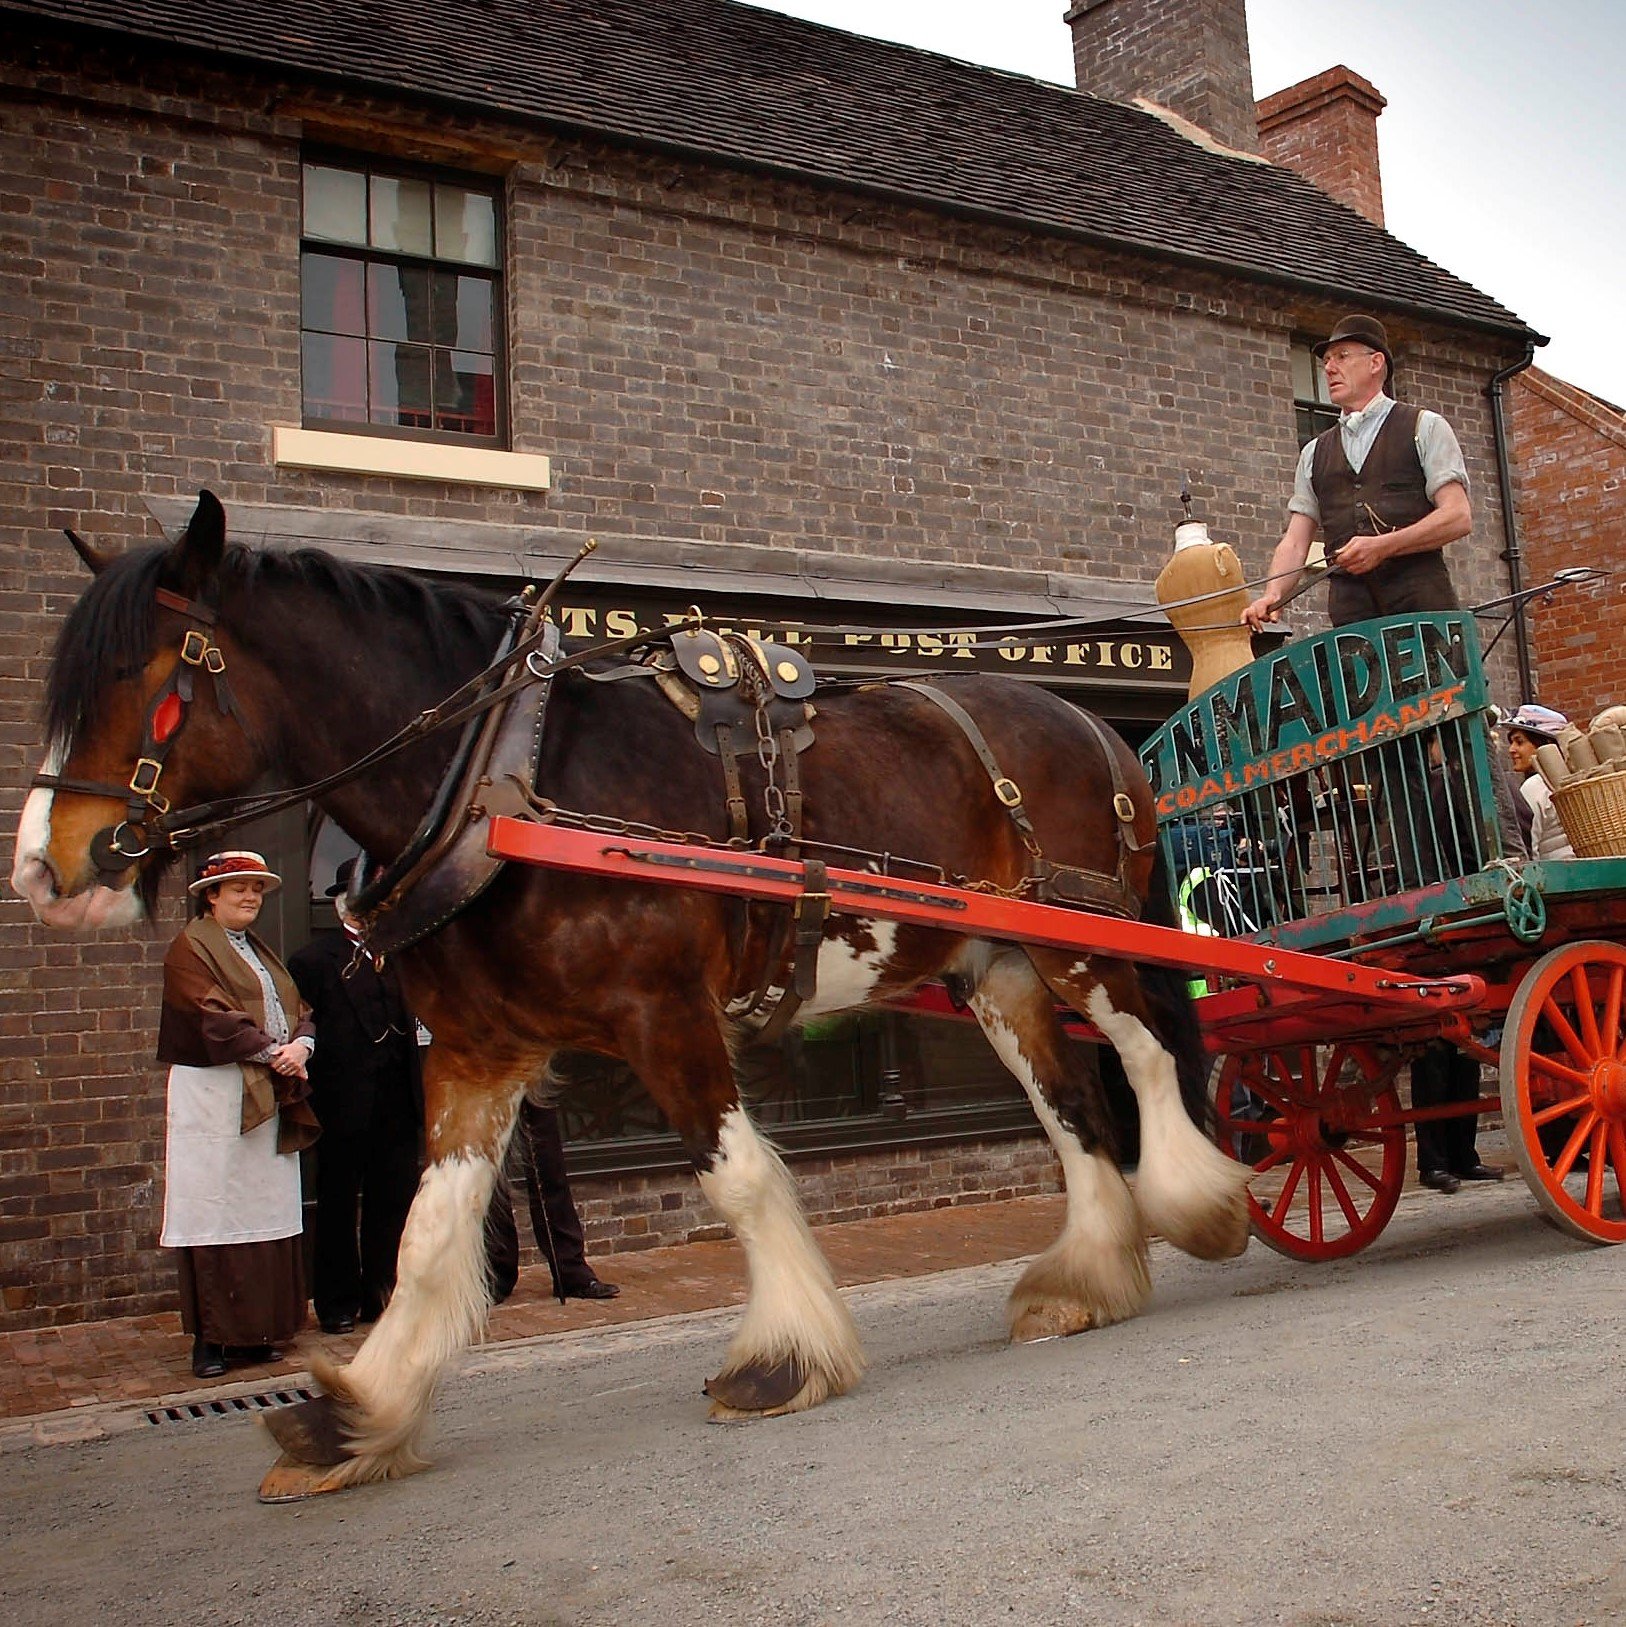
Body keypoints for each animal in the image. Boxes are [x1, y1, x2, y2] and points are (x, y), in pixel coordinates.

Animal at [9, 491, 1243, 1496]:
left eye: (149, 679)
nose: (42, 869)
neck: (506, 780)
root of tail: (1093, 728)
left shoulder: (665, 1015)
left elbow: (739, 1179)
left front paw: (783, 1357)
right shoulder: (475, 1052)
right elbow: (428, 1232)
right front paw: (359, 1413)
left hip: (1082, 947)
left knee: (1142, 1053)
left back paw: (1200, 1204)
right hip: (998, 968)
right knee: (1069, 1105)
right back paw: (1087, 1275)